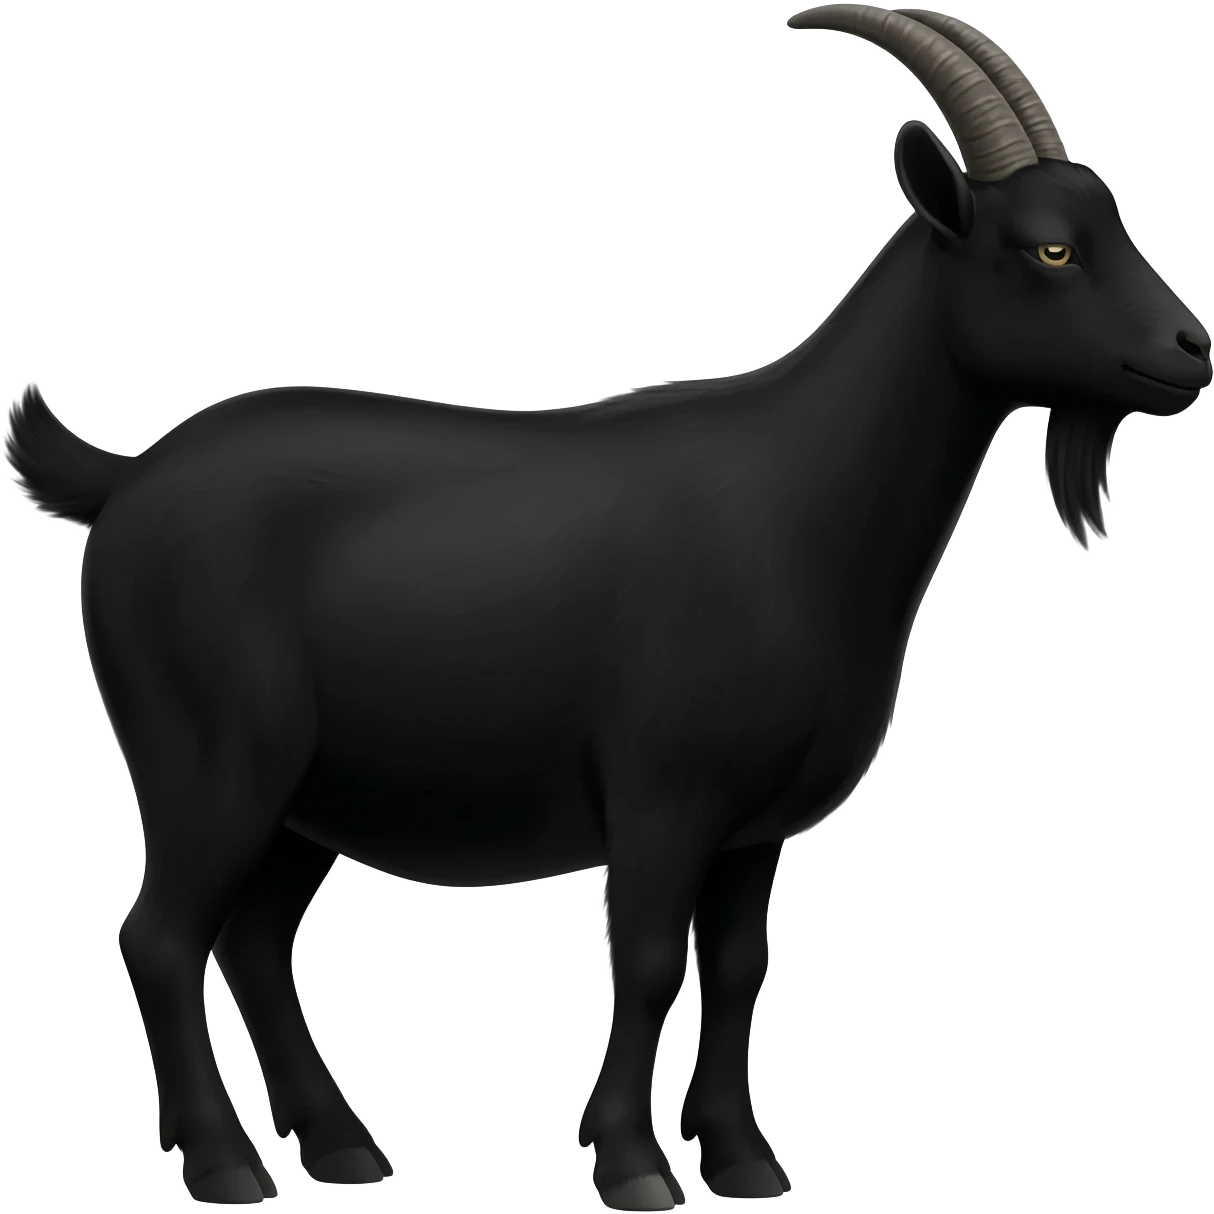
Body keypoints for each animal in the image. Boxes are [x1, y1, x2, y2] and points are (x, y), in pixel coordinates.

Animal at [4, 5, 1208, 1209]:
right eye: (1049, 247)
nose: (1189, 349)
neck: (802, 502)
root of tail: (122, 480)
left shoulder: (753, 821)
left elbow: (739, 965)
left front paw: (742, 1157)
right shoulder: (663, 789)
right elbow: (646, 957)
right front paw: (631, 1161)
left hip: (313, 787)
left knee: (253, 937)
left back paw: (340, 1145)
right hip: (209, 755)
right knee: (161, 933)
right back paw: (222, 1160)